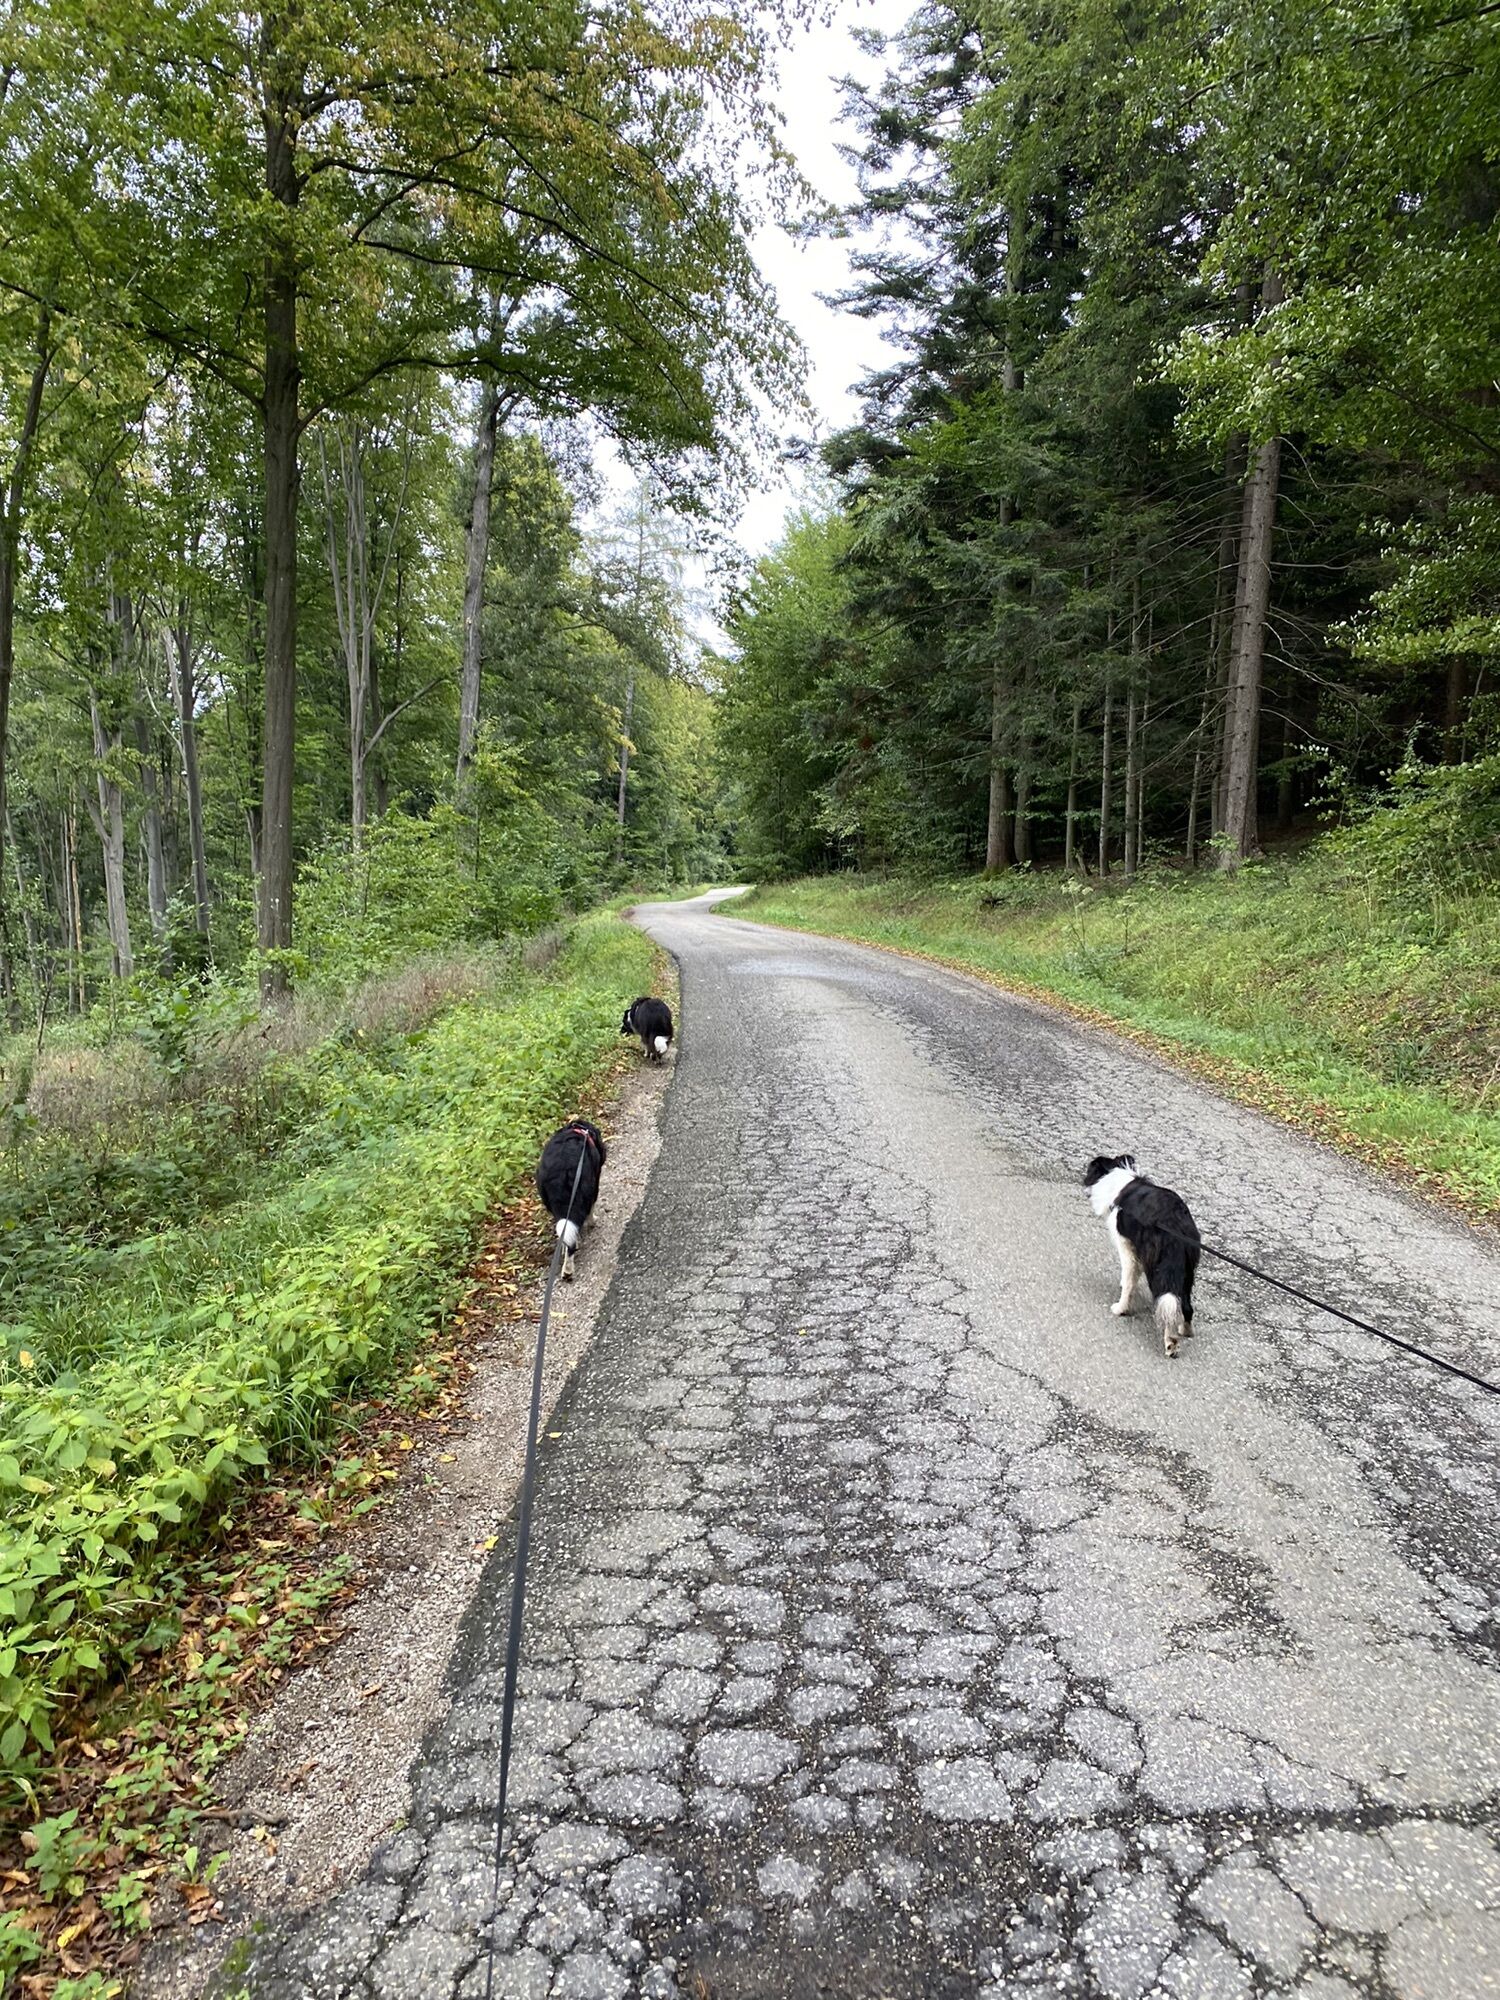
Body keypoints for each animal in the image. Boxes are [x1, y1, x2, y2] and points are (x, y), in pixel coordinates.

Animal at [535, 1119, 606, 1280]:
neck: (580, 1130)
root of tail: (561, 1171)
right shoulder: (594, 1186)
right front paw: (592, 1222)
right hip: (584, 1192)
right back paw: (568, 1270)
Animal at [1084, 1154, 1201, 1358]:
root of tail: (1175, 1224)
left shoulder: (1127, 1246)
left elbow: (1128, 1280)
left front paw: (1120, 1308)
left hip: (1158, 1268)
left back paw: (1170, 1342)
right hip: (1187, 1269)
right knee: (1185, 1304)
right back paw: (1185, 1330)